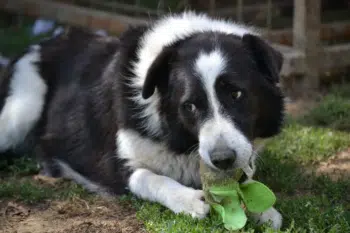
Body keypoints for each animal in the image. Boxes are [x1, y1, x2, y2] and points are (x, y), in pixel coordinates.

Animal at [0, 11, 284, 228]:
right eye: (190, 106)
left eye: (236, 94)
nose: (222, 159)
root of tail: (40, 44)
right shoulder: (115, 165)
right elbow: (151, 177)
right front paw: (187, 199)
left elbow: (245, 180)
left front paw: (262, 210)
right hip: (19, 113)